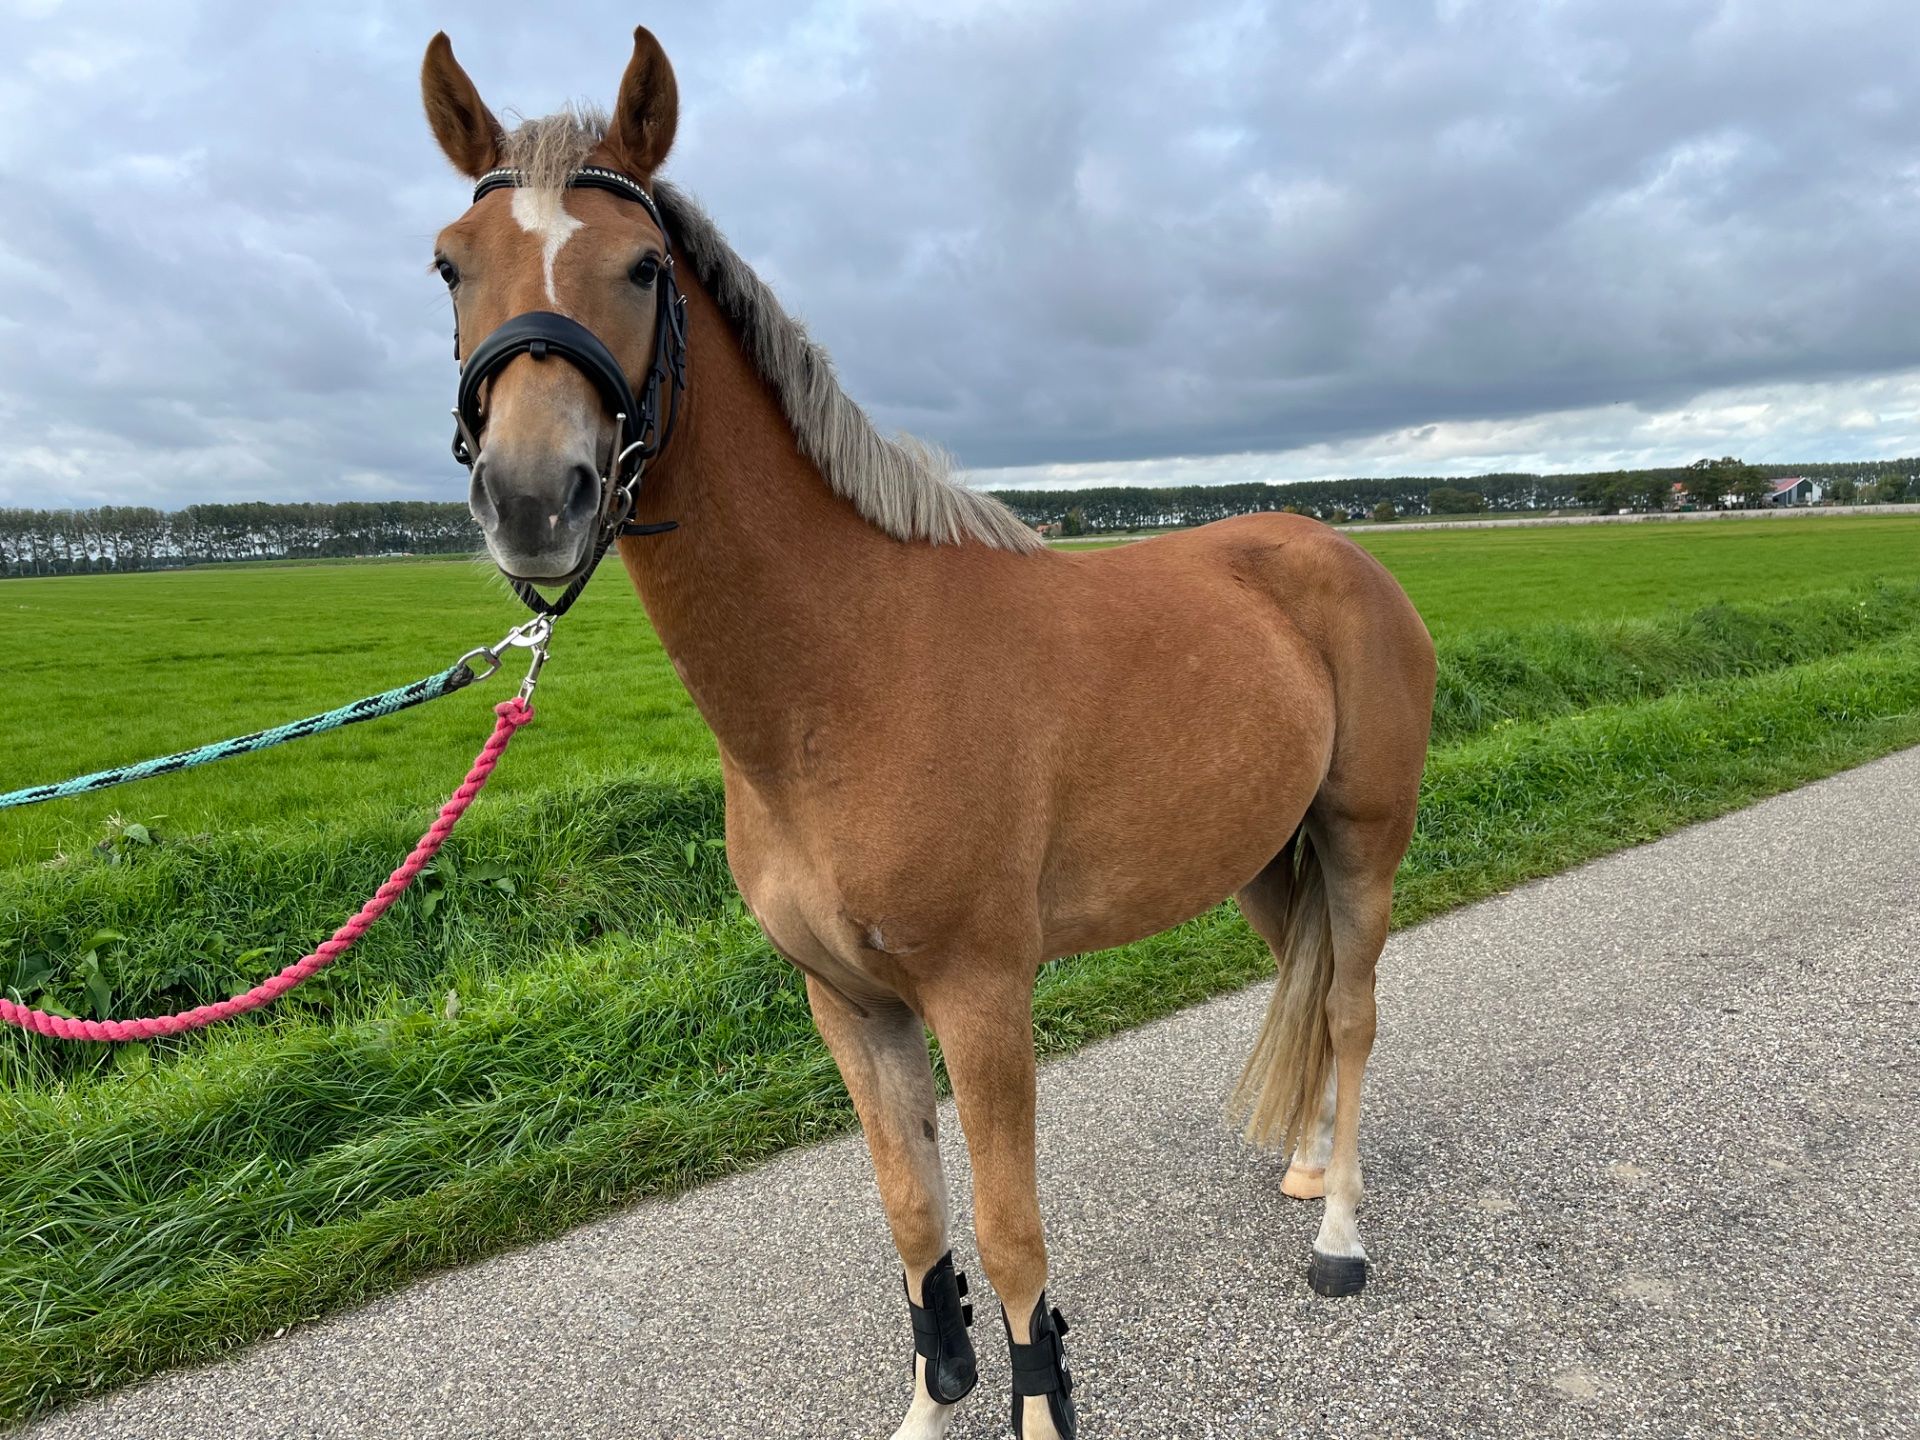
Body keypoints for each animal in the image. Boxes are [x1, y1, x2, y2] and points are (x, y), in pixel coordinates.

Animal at [420, 26, 1435, 1439]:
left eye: (643, 268)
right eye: (451, 263)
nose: (532, 500)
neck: (848, 676)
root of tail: (1344, 557)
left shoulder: (980, 997)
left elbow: (1010, 1238)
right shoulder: (848, 1004)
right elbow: (914, 1218)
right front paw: (927, 1400)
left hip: (1359, 839)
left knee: (1349, 1010)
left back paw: (1338, 1230)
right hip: (1256, 861)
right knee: (1305, 977)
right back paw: (1302, 1165)